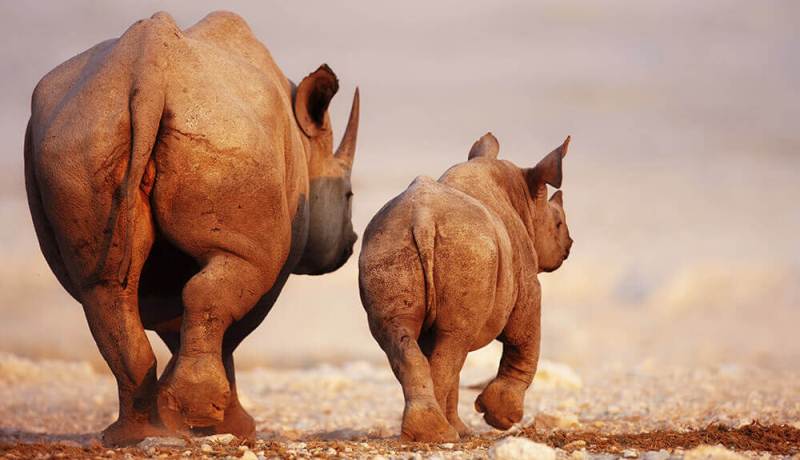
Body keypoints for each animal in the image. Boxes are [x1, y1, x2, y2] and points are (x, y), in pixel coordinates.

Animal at [25, 11, 360, 446]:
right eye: (349, 195)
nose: (350, 244)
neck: (305, 145)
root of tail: (147, 69)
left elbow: (176, 320)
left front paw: (179, 416)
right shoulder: (276, 252)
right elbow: (234, 327)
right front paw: (227, 426)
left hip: (79, 133)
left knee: (102, 290)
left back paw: (131, 434)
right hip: (224, 133)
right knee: (220, 282)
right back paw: (195, 420)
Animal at [360, 133, 572, 442]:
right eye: (558, 224)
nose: (569, 244)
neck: (523, 199)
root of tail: (422, 219)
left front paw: (463, 429)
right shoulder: (527, 283)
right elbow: (523, 340)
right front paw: (501, 417)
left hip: (388, 243)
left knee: (406, 337)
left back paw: (431, 432)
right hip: (468, 250)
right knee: (453, 342)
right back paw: (441, 434)